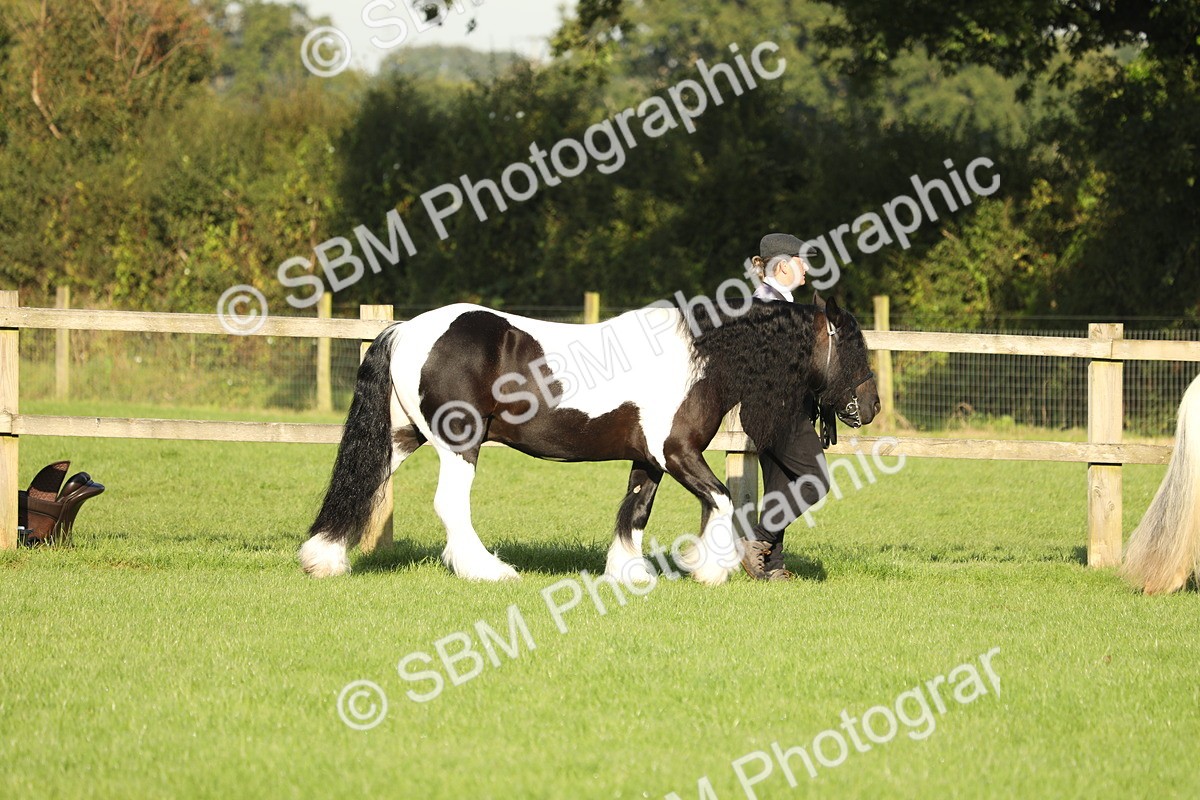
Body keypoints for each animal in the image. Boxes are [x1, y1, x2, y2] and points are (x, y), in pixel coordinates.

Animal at [298, 292, 879, 585]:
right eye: (852, 344)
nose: (870, 407)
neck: (701, 356)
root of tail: (406, 330)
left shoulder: (650, 460)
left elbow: (635, 512)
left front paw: (628, 574)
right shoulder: (677, 453)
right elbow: (719, 502)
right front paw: (710, 569)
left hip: (402, 436)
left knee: (363, 480)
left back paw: (324, 559)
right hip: (459, 443)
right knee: (450, 505)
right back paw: (488, 571)